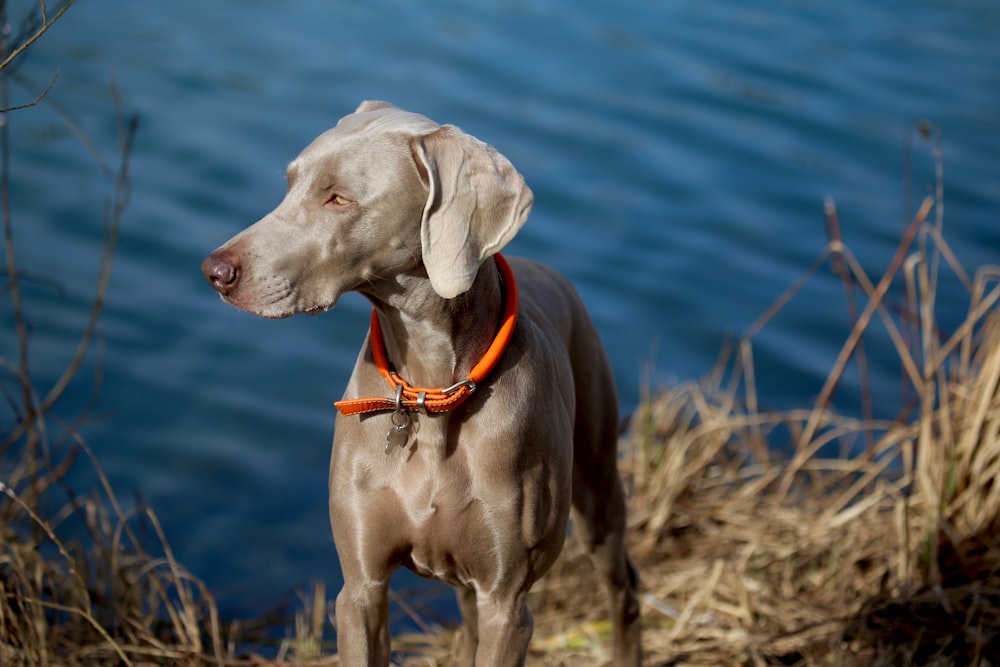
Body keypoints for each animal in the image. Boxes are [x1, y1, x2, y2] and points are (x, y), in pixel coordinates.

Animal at [202, 102, 640, 664]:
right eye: (290, 183)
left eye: (338, 198)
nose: (214, 271)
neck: (429, 388)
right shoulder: (360, 589)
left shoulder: (508, 603)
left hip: (597, 486)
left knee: (623, 589)